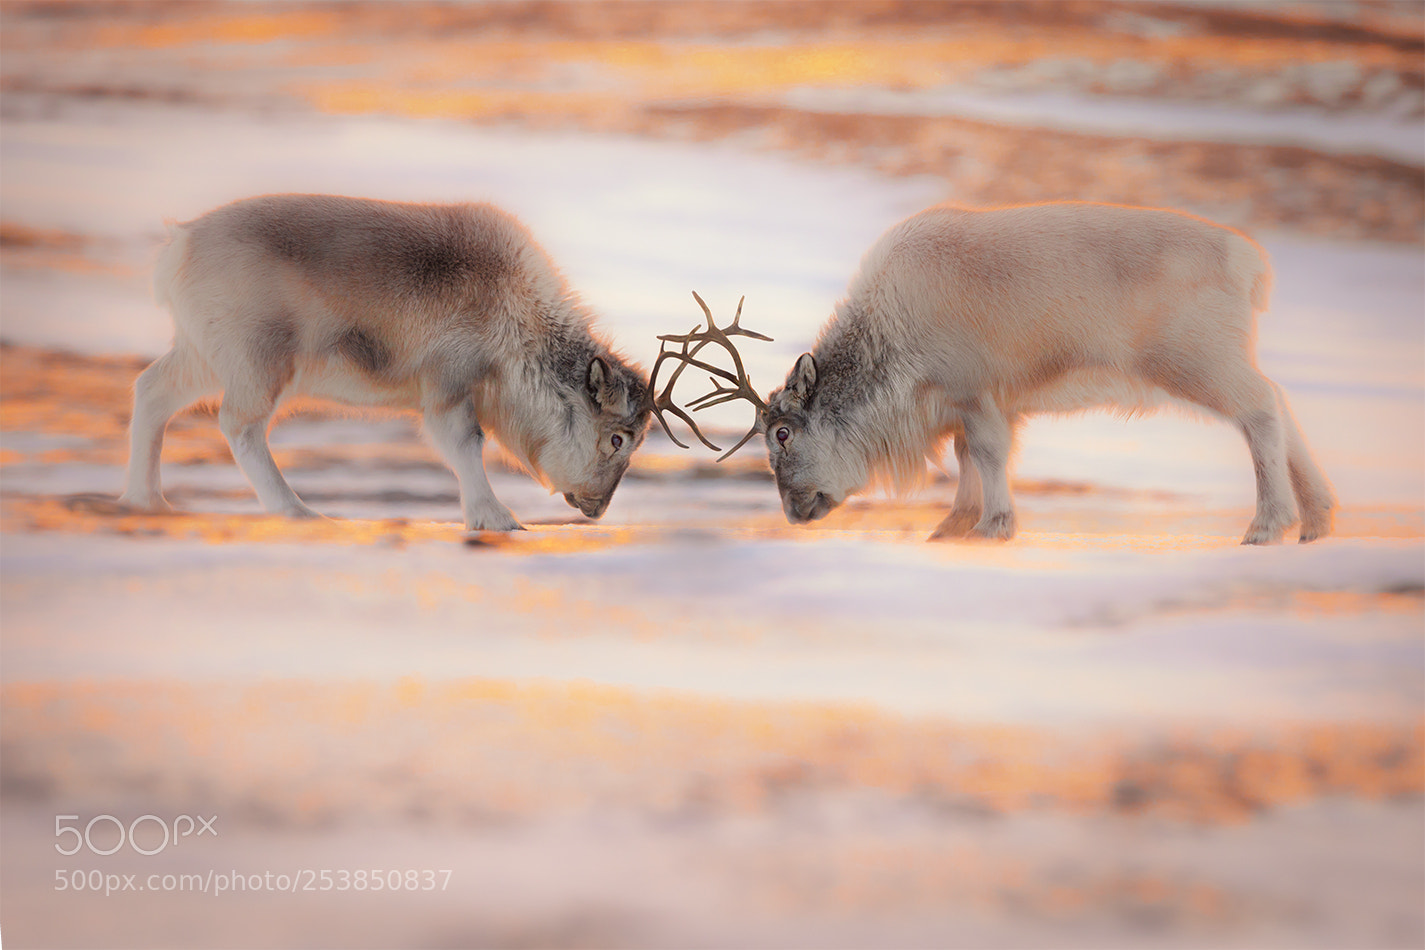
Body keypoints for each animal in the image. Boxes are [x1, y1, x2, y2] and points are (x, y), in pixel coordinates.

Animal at [119, 194, 650, 531]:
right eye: (617, 438)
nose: (597, 509)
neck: (522, 320)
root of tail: (177, 247)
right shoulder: (447, 386)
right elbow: (465, 446)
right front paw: (497, 519)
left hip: (200, 358)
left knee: (151, 390)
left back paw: (147, 500)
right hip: (259, 362)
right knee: (239, 425)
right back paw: (296, 511)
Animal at [653, 203, 1335, 544]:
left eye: (782, 433)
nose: (795, 512)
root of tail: (1250, 263)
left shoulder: (974, 390)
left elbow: (984, 453)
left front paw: (994, 526)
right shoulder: (971, 403)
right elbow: (965, 457)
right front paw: (953, 526)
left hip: (1196, 359)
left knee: (1262, 410)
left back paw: (1269, 525)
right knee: (1282, 399)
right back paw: (1319, 519)